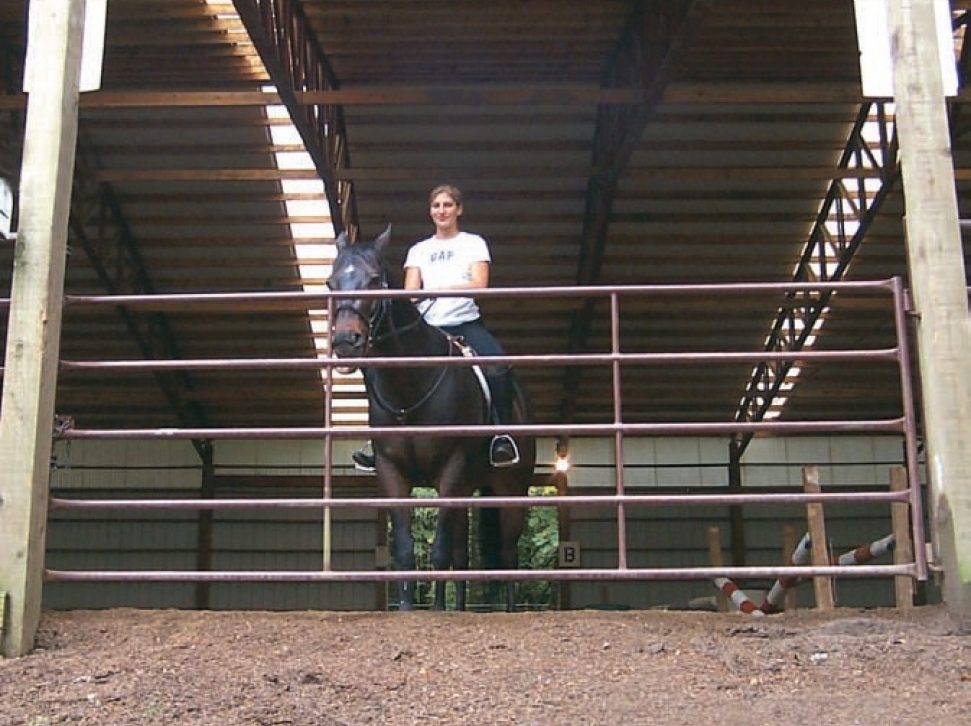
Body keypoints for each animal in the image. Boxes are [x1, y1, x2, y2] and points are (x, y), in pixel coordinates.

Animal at [329, 225, 536, 611]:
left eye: (374, 279)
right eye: (331, 283)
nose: (346, 341)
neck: (411, 388)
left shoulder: (450, 468)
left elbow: (438, 550)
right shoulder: (393, 471)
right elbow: (406, 548)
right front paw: (409, 609)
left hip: (510, 488)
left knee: (508, 553)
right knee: (462, 556)